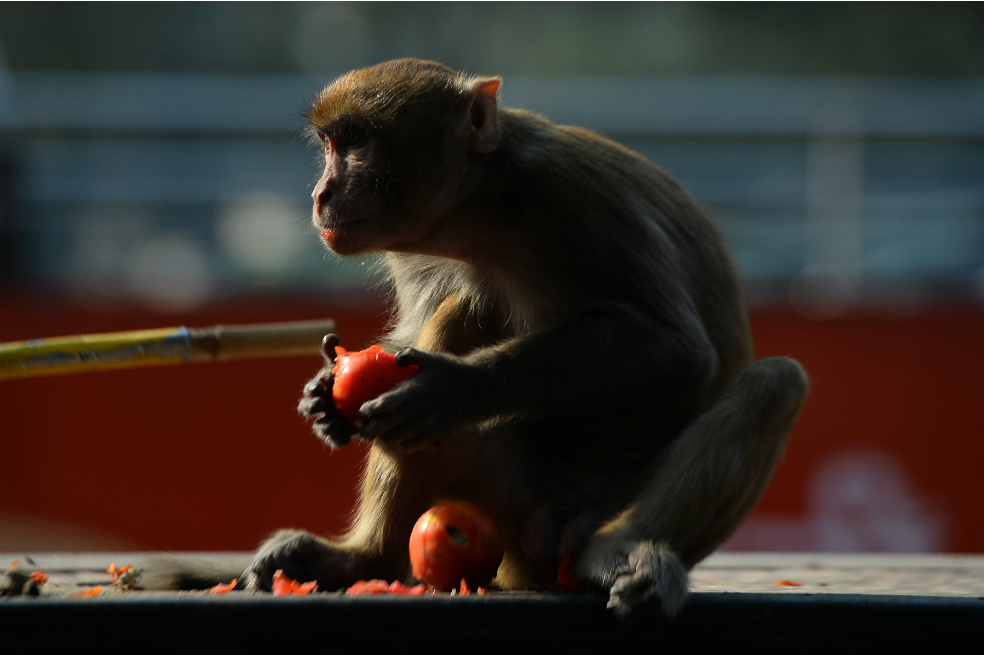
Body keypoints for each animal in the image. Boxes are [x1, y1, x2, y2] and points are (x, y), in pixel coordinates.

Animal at [222, 59, 807, 618]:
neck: (479, 217)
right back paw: (364, 559)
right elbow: (409, 337)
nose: (321, 193)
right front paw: (325, 396)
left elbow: (676, 346)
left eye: (357, 139)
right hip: (501, 501)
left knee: (778, 384)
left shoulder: (570, 197)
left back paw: (611, 552)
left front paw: (453, 388)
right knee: (460, 310)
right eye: (330, 144)